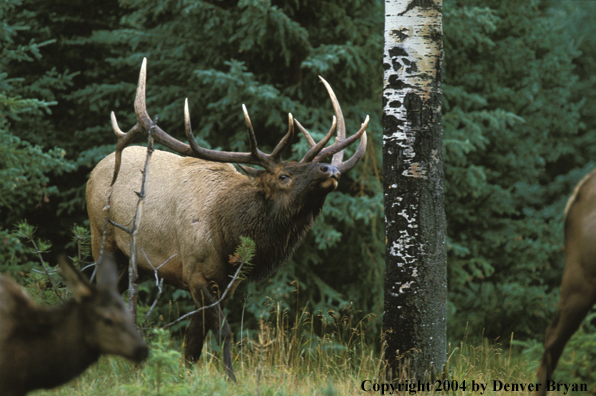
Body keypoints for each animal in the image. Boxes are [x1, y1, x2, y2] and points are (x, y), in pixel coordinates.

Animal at [86, 58, 368, 380]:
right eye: (283, 176)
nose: (329, 170)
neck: (226, 233)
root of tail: (94, 170)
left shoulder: (225, 283)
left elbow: (194, 341)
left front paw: (187, 375)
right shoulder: (196, 273)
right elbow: (222, 332)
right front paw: (231, 378)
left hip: (132, 262)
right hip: (101, 237)